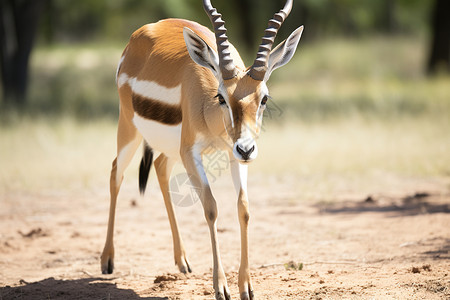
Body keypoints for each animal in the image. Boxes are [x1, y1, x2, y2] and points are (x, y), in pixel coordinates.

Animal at [101, 0, 302, 298]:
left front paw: (246, 286)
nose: (247, 149)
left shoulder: (232, 154)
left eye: (264, 98)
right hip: (129, 129)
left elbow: (243, 208)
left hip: (170, 149)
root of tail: (141, 35)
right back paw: (107, 260)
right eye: (222, 97)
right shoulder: (191, 153)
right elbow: (210, 207)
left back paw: (182, 262)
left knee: (160, 168)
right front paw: (221, 287)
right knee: (116, 172)